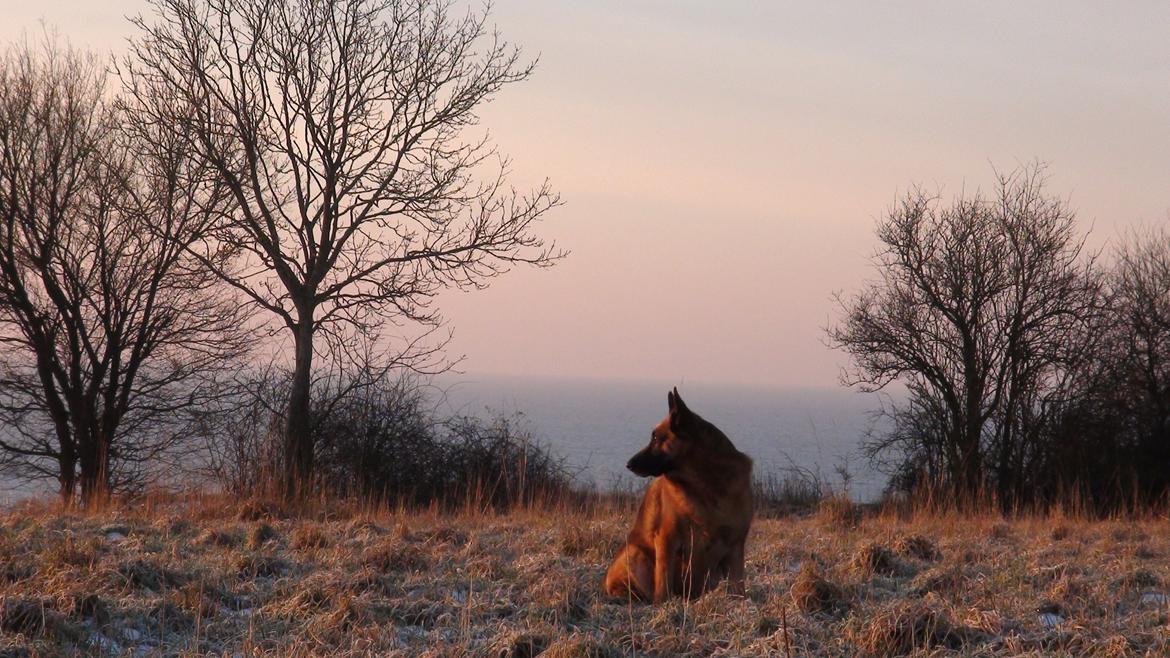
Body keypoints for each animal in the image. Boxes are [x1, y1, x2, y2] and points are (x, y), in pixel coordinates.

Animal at [603, 386, 758, 604]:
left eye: (656, 438)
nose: (628, 464)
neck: (705, 485)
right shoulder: (667, 540)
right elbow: (662, 587)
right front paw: (663, 607)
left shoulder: (735, 548)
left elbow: (738, 589)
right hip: (635, 554)